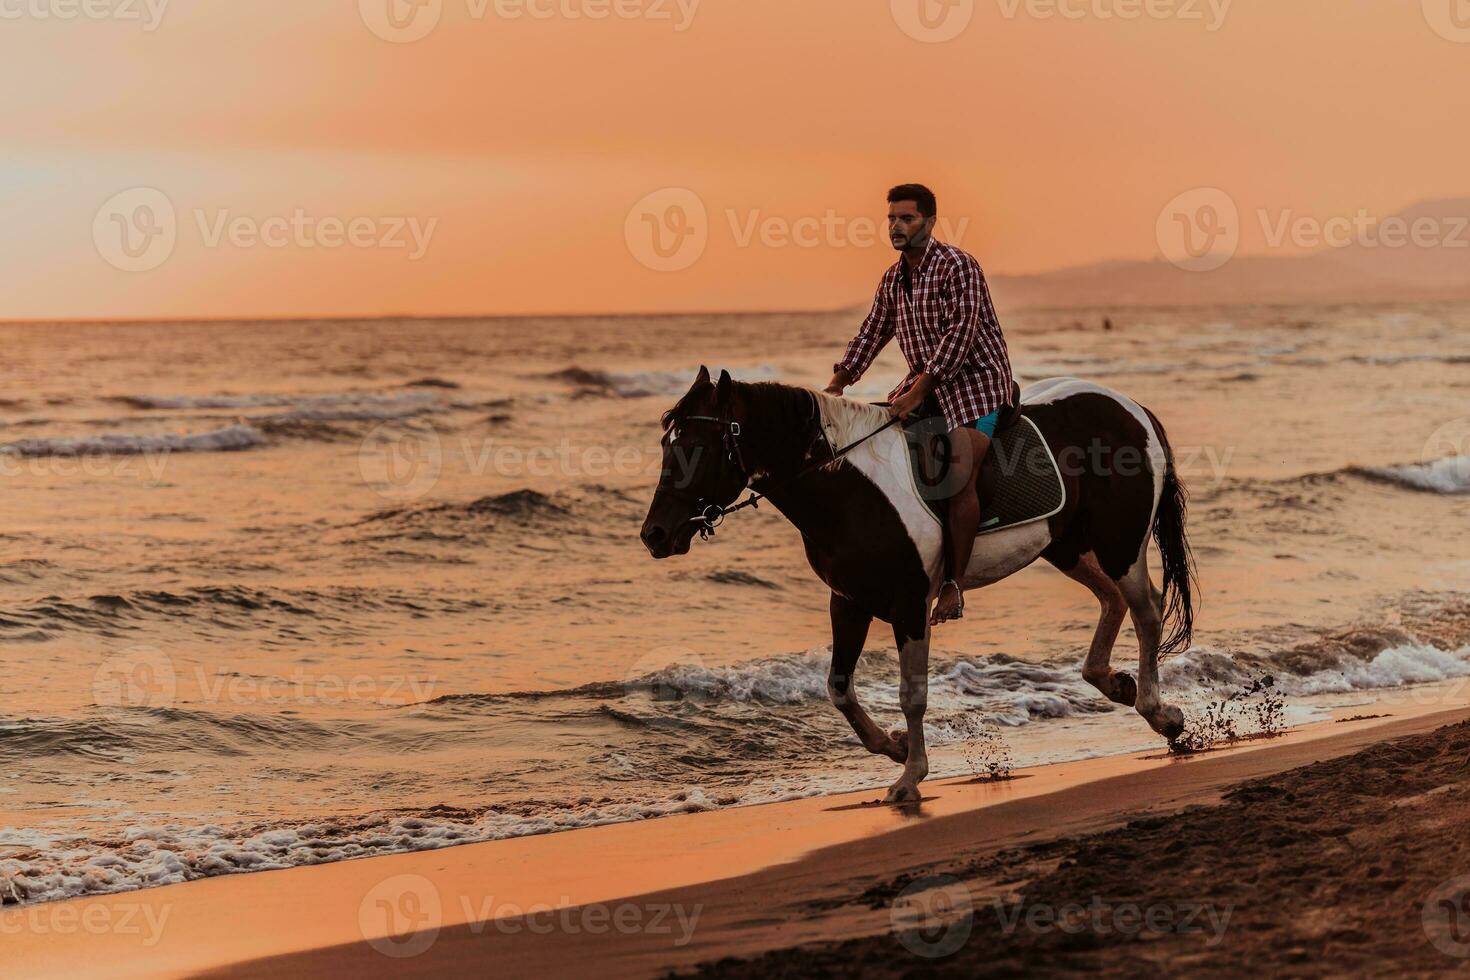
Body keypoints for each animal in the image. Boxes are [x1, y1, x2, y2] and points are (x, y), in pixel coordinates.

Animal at [643, 367, 1193, 805]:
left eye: (695, 447)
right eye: (667, 445)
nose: (655, 535)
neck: (847, 488)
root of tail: (1130, 407)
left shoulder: (908, 605)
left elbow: (912, 695)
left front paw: (909, 778)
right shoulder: (848, 602)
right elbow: (838, 687)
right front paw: (894, 746)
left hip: (1120, 545)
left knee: (1146, 609)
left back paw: (1161, 714)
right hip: (1066, 544)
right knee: (1112, 600)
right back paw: (1115, 683)